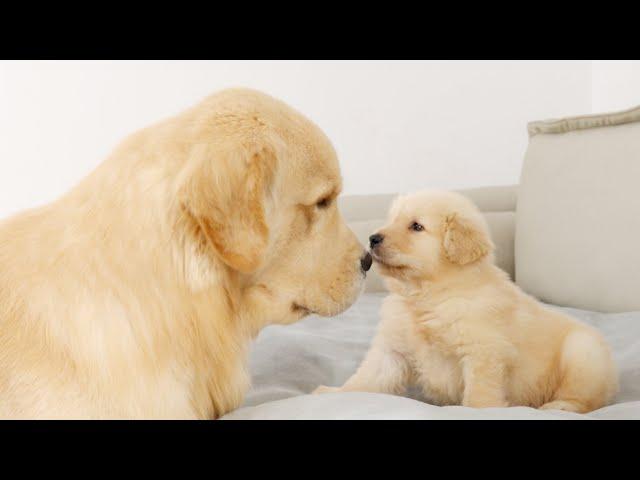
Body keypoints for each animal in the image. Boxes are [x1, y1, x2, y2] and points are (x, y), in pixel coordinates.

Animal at [314, 191, 616, 412]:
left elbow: (480, 395)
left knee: (585, 399)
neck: (429, 296)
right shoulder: (393, 351)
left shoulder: (483, 353)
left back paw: (559, 407)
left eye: (416, 226)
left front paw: (476, 411)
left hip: (583, 353)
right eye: (392, 220)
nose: (373, 238)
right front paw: (336, 393)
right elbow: (367, 377)